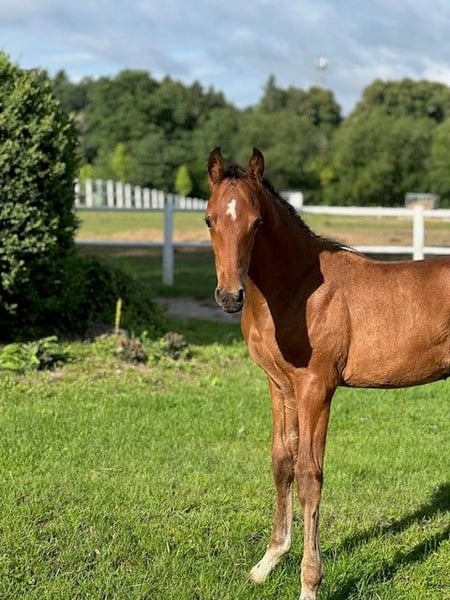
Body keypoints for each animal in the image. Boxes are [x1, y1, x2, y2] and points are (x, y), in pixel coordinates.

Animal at [205, 147, 450, 600]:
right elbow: (281, 462)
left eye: (257, 223)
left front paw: (309, 584)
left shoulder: (316, 388)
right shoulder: (279, 386)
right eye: (209, 219)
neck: (298, 289)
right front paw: (266, 565)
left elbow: (309, 475)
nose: (230, 297)